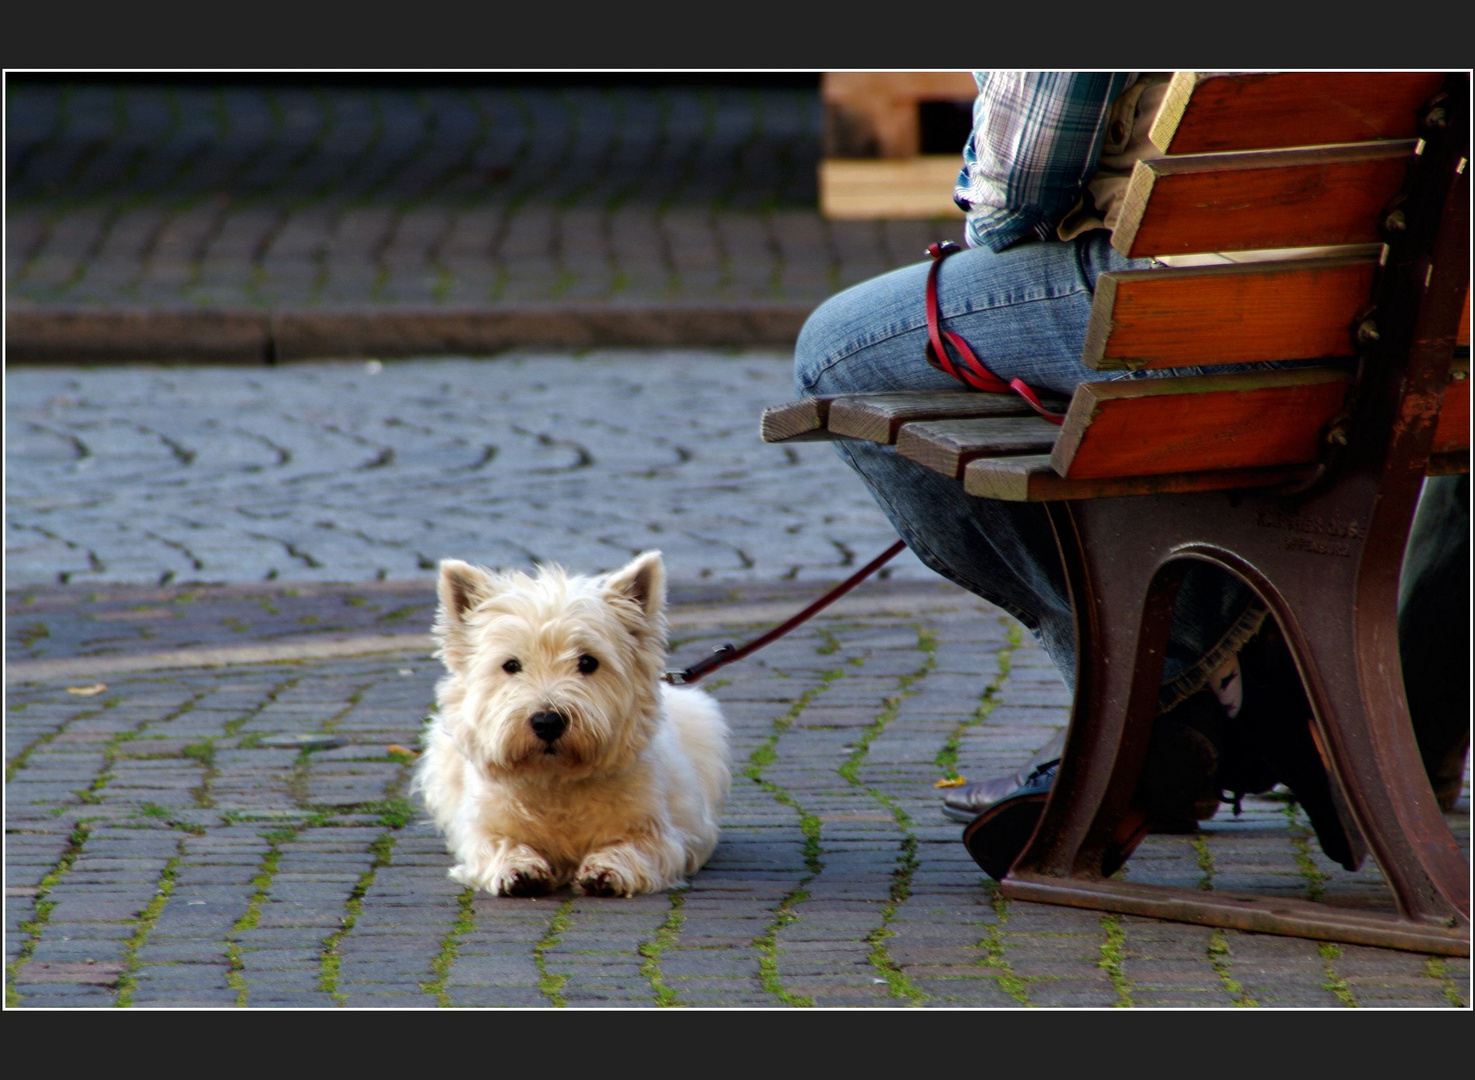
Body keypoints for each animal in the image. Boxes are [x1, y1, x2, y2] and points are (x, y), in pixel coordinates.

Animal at [413, 548, 728, 897]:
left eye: (588, 662)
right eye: (511, 665)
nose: (548, 721)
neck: (556, 780)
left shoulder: (658, 832)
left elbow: (636, 846)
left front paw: (607, 869)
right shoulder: (484, 827)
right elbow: (496, 843)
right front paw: (518, 869)